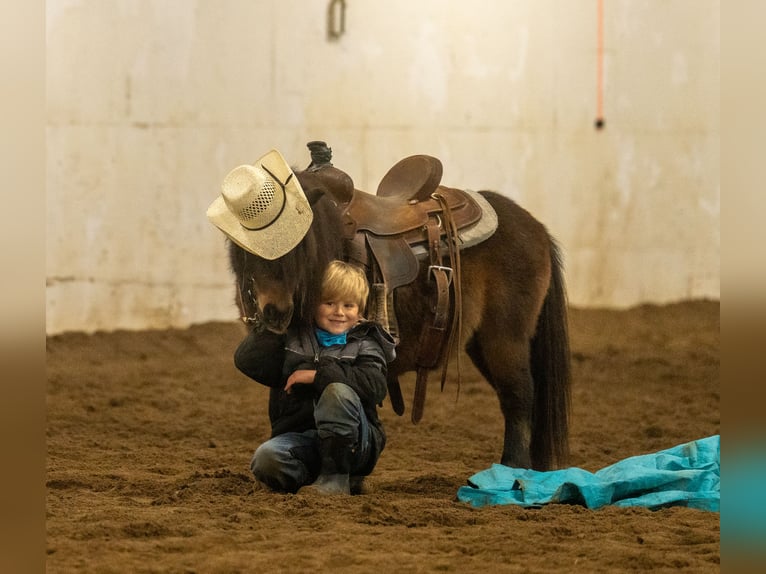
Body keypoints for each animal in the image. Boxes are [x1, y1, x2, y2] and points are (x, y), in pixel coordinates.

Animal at [225, 151, 571, 471]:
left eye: (300, 246)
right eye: (248, 249)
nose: (275, 311)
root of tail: (536, 228)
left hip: (505, 338)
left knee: (519, 396)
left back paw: (512, 468)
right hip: (481, 344)